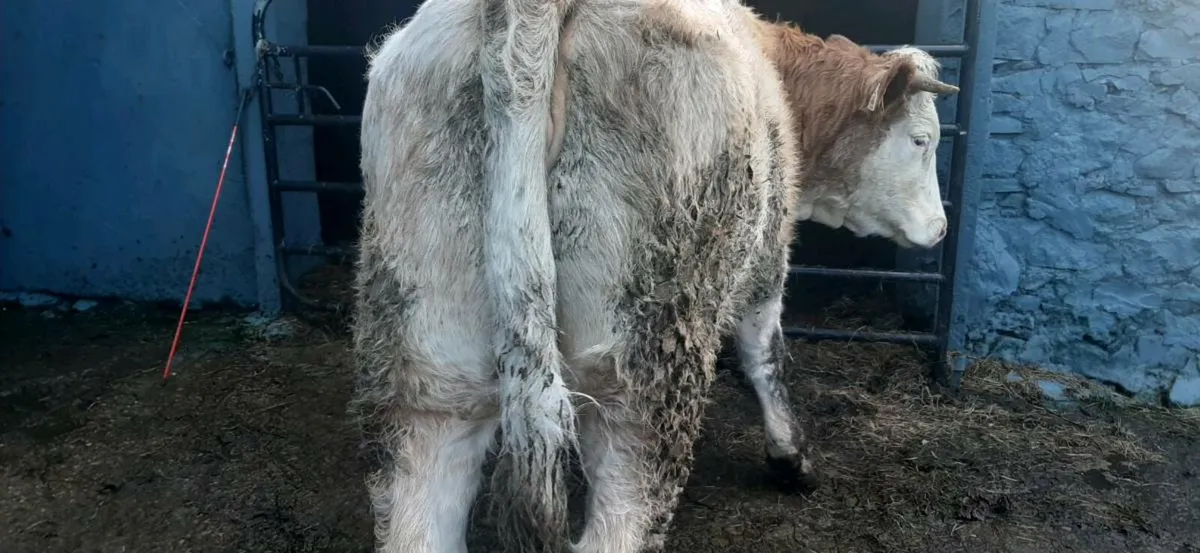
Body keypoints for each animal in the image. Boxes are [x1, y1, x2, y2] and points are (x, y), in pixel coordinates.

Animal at [349, 0, 958, 552]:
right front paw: (791, 458)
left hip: (429, 352)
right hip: (644, 368)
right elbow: (767, 354)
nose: (941, 228)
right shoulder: (768, 253)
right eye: (922, 139)